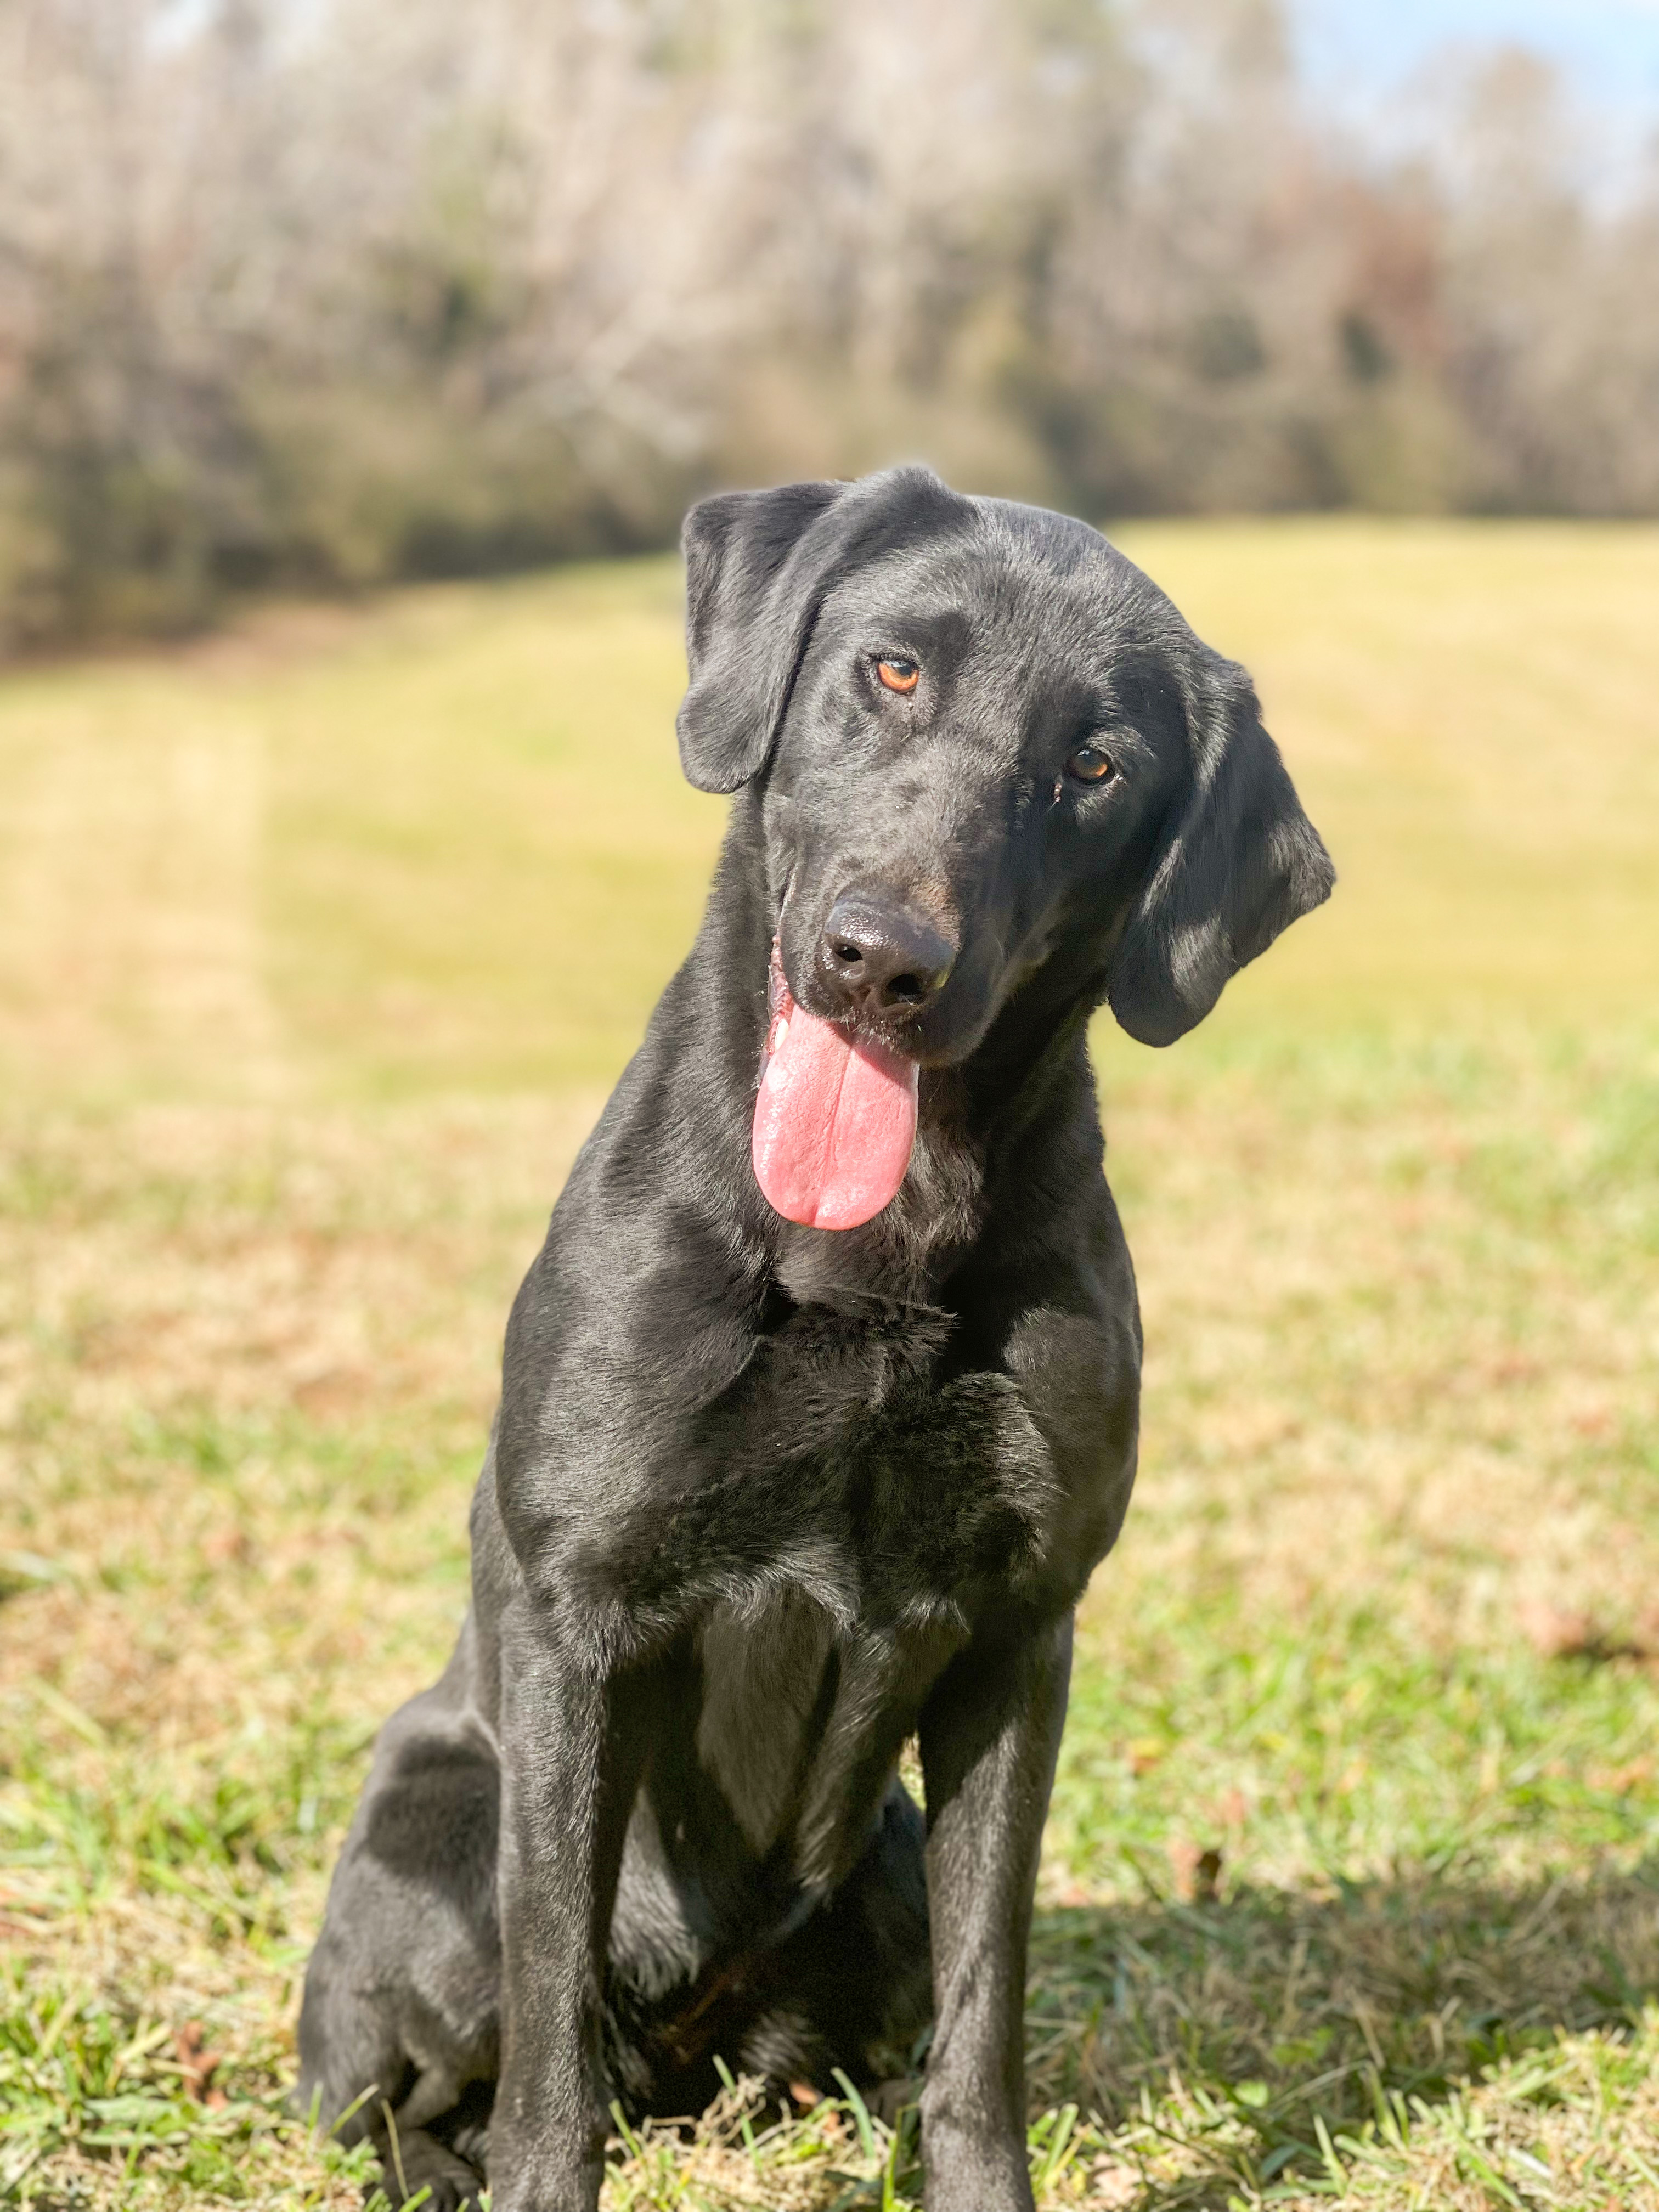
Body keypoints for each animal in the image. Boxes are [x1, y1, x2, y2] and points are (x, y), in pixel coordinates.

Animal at [298, 458, 1336, 2203]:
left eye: (1097, 766)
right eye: (893, 670)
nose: (884, 961)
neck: (871, 1262)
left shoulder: (1019, 1633)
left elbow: (986, 2020)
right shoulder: (582, 1625)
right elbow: (552, 2035)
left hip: (883, 1874)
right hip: (431, 1825)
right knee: (416, 2085)